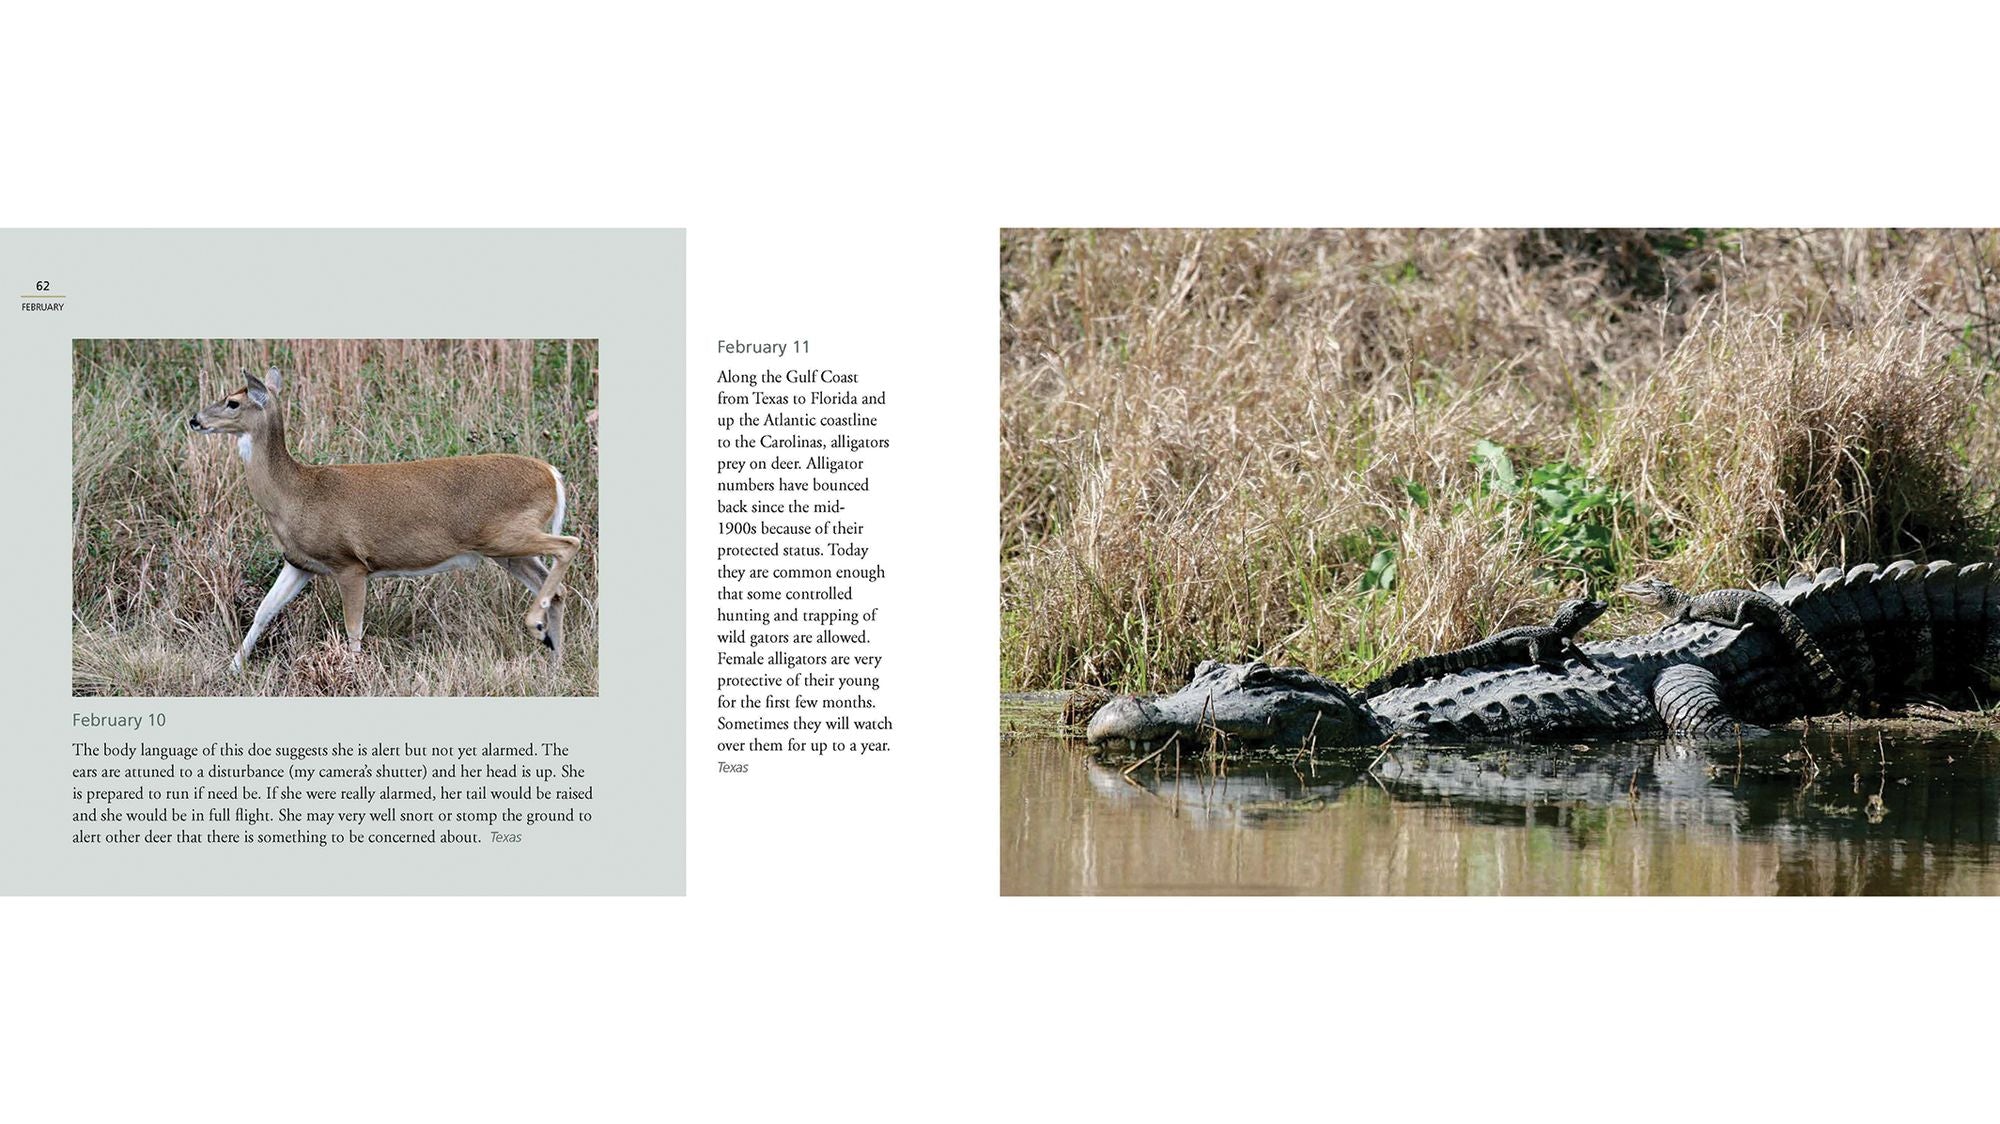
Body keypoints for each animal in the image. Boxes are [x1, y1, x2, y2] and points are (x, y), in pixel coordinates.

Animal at [188, 367, 582, 673]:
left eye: (232, 402)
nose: (195, 419)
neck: (295, 494)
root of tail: (553, 475)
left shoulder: (350, 563)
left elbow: (353, 629)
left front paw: (352, 674)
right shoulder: (299, 563)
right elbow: (263, 611)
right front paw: (232, 668)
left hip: (507, 534)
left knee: (569, 545)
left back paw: (536, 628)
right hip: (507, 550)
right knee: (557, 589)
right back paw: (555, 664)